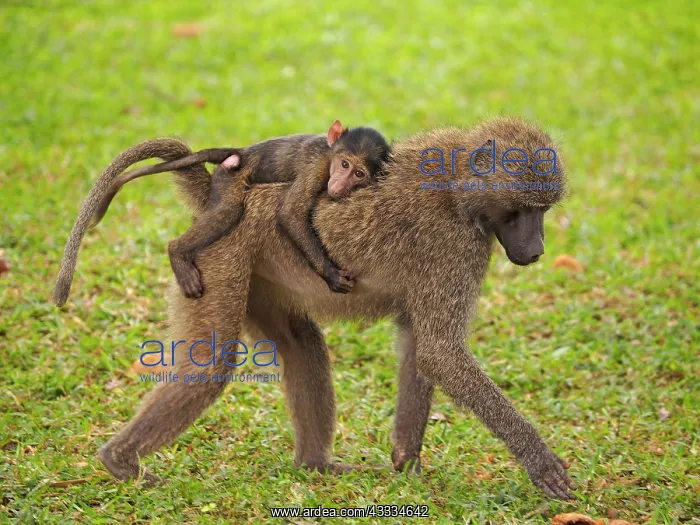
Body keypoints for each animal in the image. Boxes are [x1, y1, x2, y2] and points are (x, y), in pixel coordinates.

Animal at [57, 116, 575, 499]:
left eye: (543, 211)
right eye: (525, 210)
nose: (537, 250)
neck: (458, 186)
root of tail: (222, 197)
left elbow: (419, 347)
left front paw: (406, 464)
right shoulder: (454, 247)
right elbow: (440, 353)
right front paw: (541, 463)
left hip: (261, 277)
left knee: (301, 345)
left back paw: (315, 465)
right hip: (219, 257)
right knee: (210, 368)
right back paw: (121, 463)